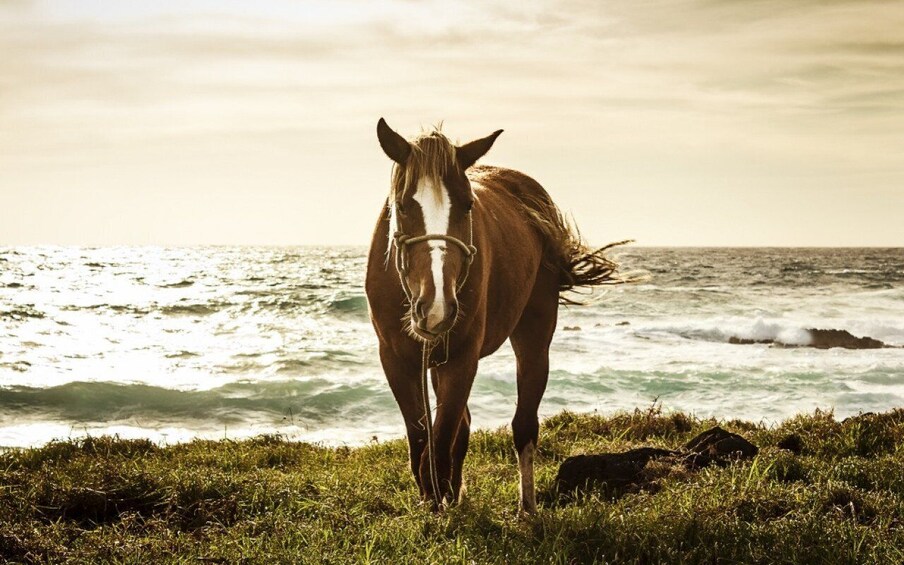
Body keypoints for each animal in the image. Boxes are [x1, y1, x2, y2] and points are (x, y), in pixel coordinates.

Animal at [364, 119, 624, 512]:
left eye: (468, 204)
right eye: (404, 206)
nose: (436, 307)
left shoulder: (462, 358)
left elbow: (440, 445)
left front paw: (439, 502)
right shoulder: (396, 360)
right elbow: (422, 439)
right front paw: (434, 500)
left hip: (534, 334)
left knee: (523, 424)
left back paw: (526, 508)